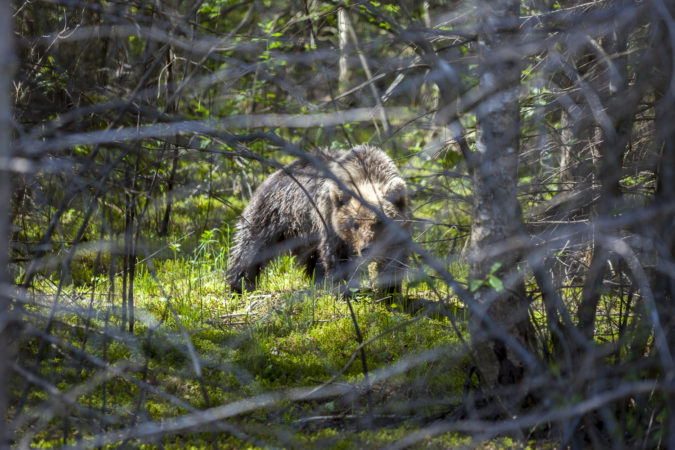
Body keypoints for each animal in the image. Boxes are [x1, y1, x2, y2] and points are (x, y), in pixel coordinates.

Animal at [227, 144, 410, 296]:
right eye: (354, 224)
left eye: (378, 223)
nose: (366, 248)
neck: (365, 174)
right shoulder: (329, 218)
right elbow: (336, 255)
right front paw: (343, 290)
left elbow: (394, 260)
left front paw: (391, 293)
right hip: (273, 213)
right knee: (252, 247)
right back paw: (240, 284)